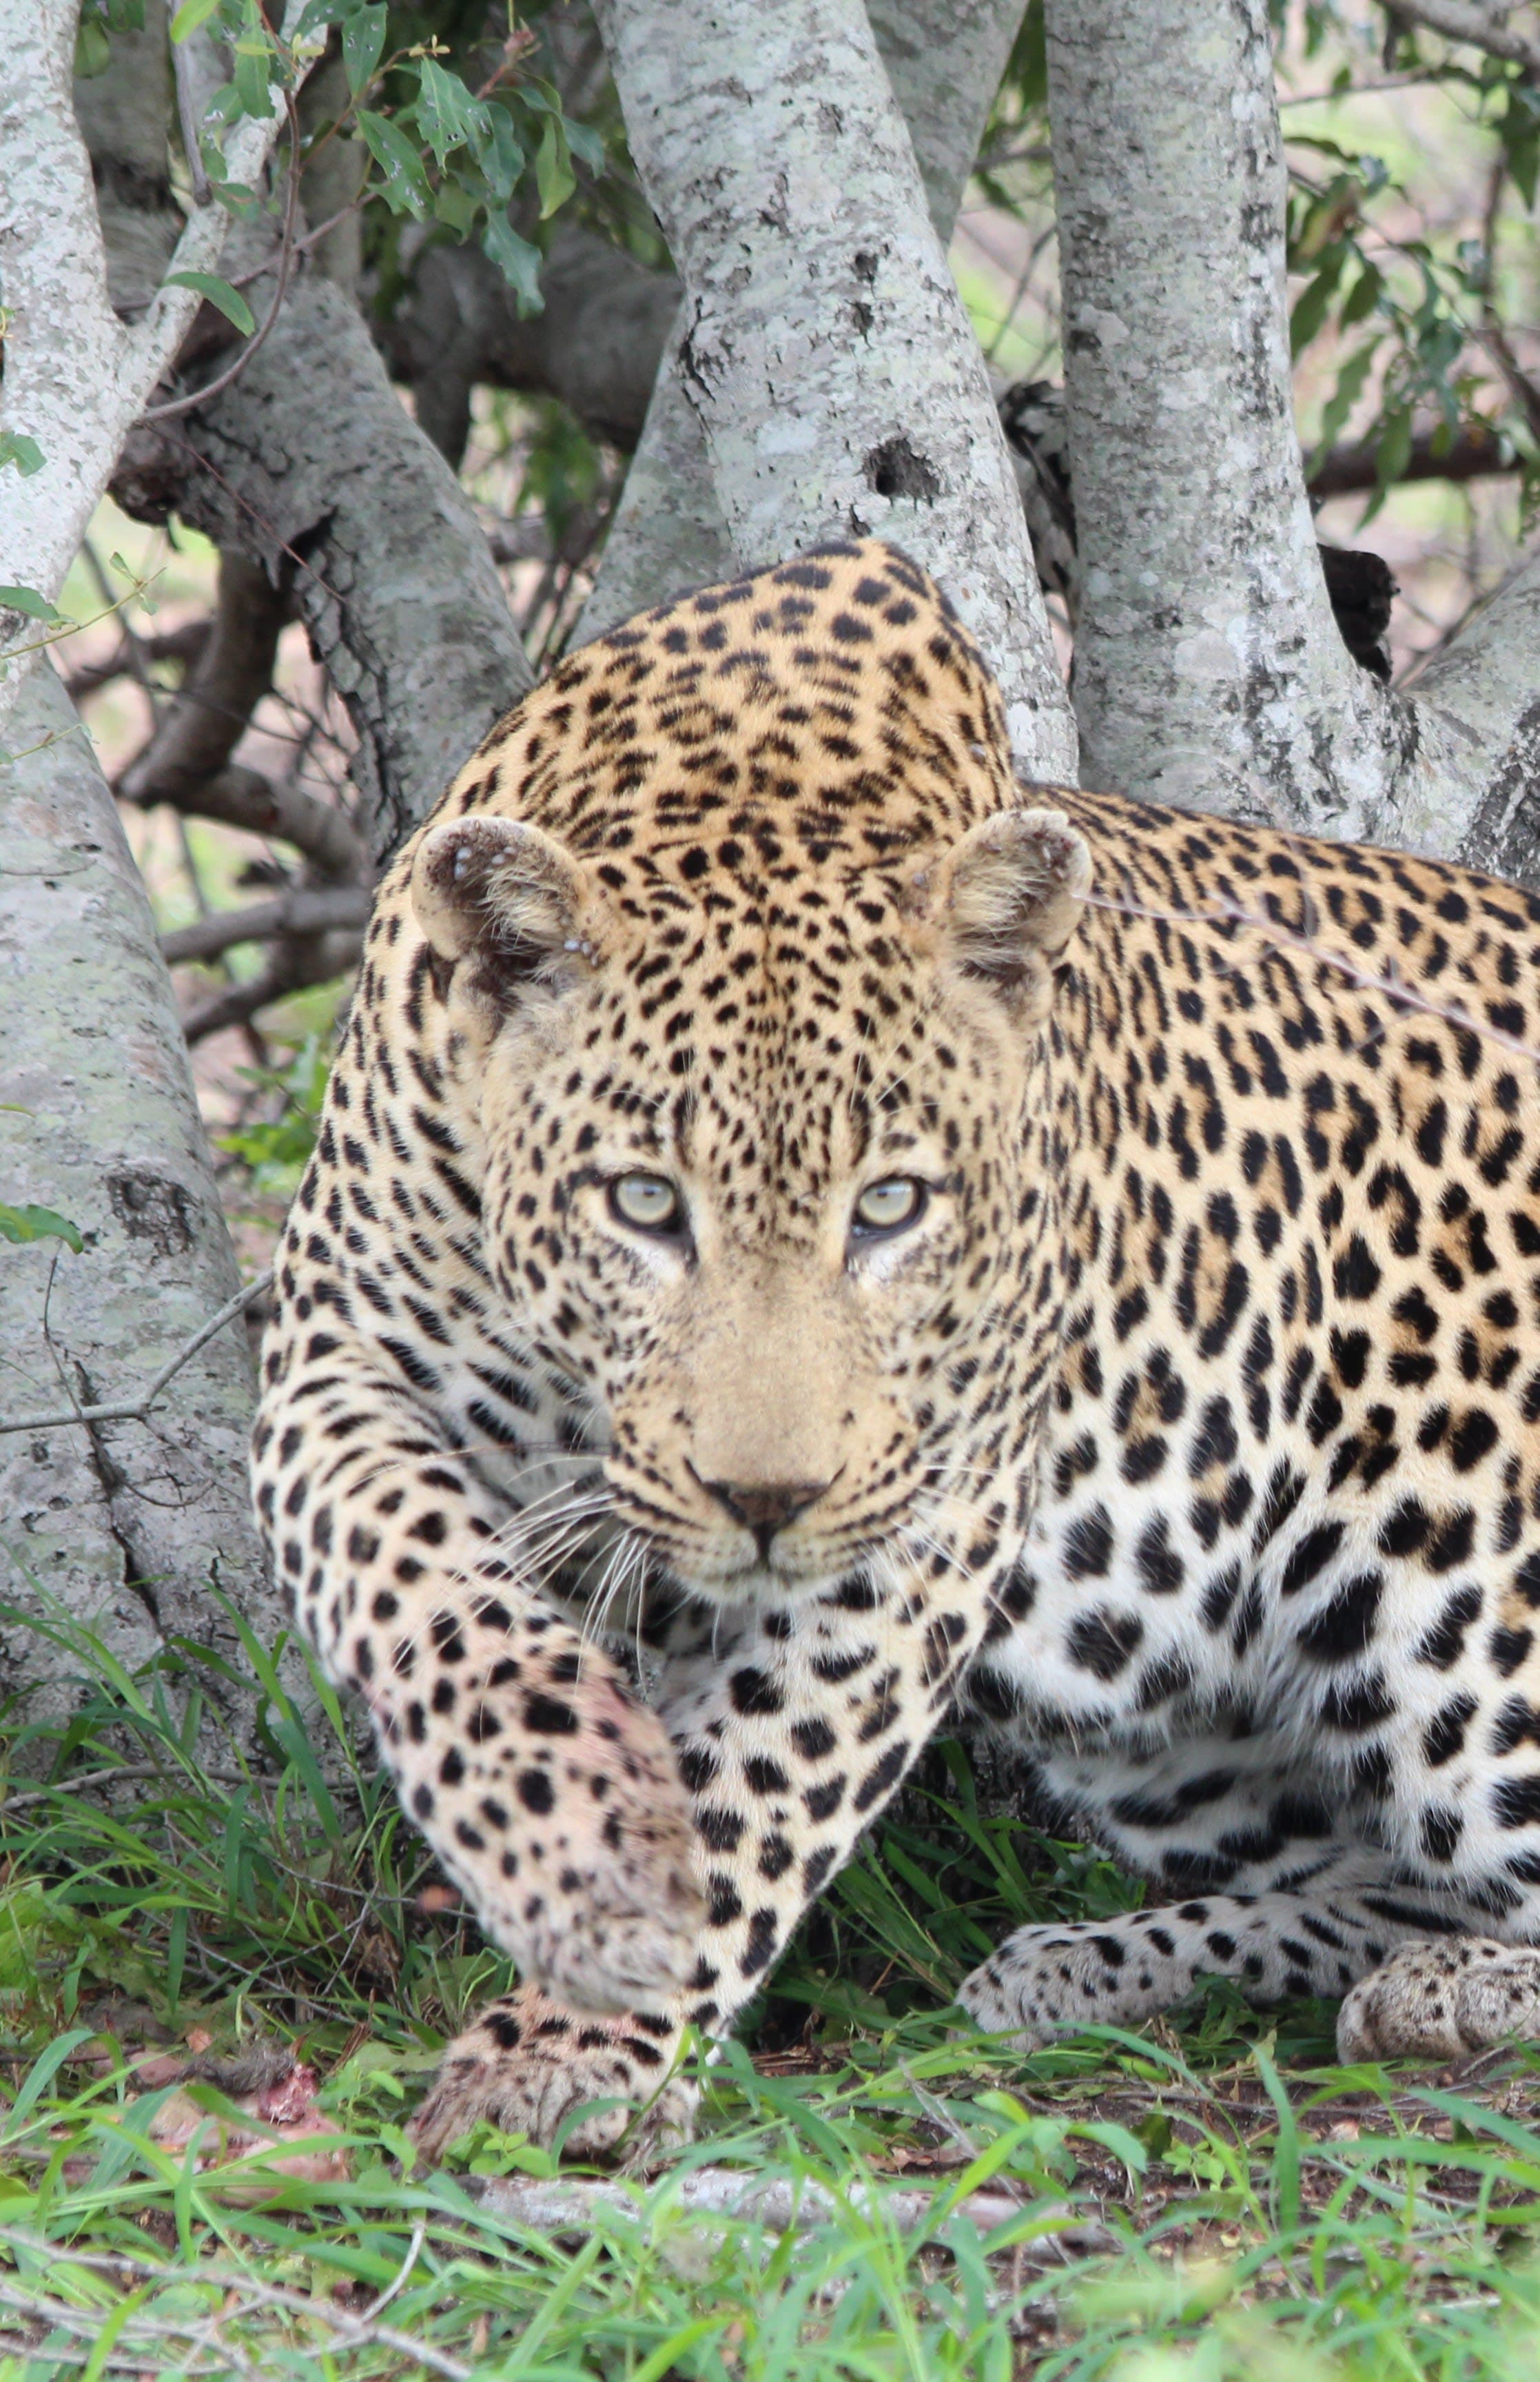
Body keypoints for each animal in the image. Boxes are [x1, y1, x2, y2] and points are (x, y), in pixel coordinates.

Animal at [251, 536, 1540, 2159]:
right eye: (643, 1202)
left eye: (890, 1207)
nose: (764, 1502)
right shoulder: (335, 1358)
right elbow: (427, 1600)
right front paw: (574, 1836)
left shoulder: (924, 1510)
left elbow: (759, 1776)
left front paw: (590, 2022)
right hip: (1172, 1725)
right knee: (1371, 1878)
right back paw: (1100, 1968)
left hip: (1455, 1616)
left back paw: (1442, 1991)